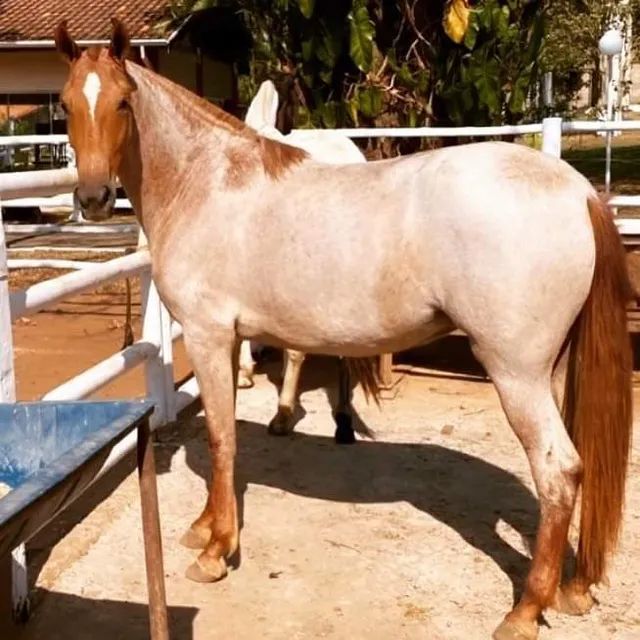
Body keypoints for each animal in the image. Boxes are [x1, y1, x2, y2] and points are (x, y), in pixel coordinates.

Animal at [56, 20, 636, 640]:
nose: (92, 198)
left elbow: (220, 436)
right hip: (552, 370)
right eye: (65, 103)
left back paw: (525, 610)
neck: (206, 182)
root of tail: (576, 190)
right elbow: (224, 431)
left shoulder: (211, 336)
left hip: (517, 373)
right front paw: (206, 527)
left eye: (122, 102)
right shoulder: (230, 339)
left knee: (558, 470)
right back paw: (573, 588)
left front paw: (216, 551)